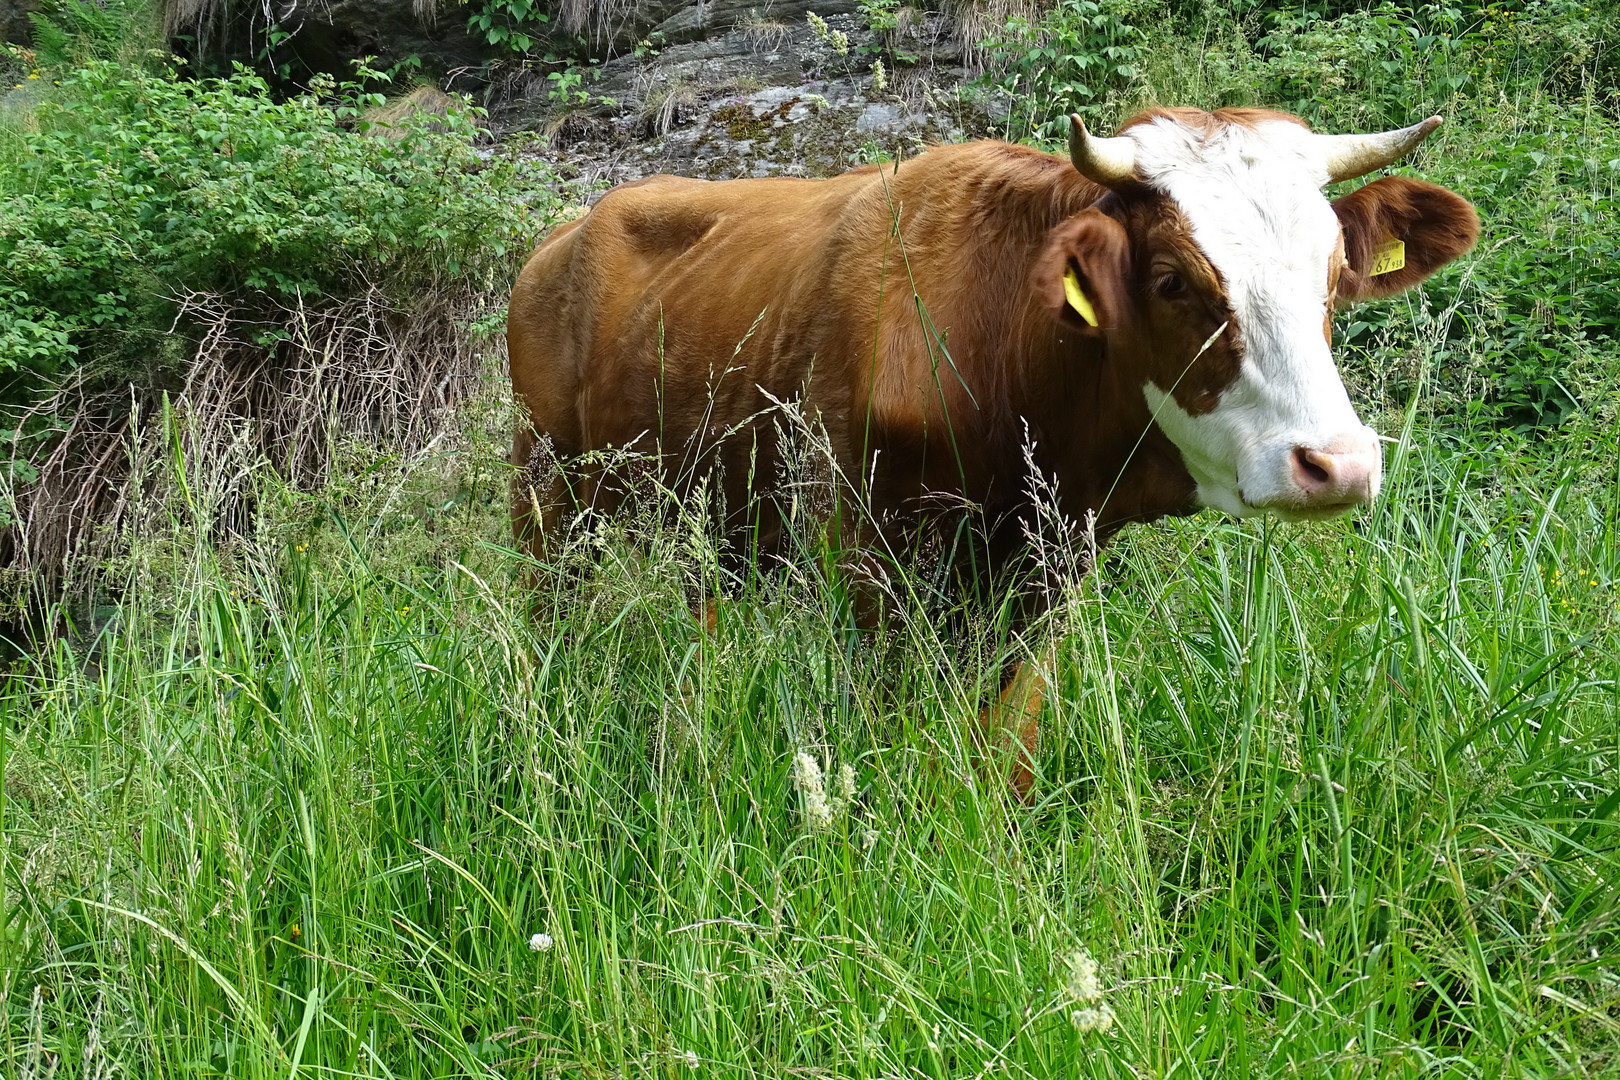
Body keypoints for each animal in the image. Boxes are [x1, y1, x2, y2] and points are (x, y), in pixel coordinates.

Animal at [505, 105, 1483, 790]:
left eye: (1335, 275)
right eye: (1172, 280)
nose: (1338, 464)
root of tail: (567, 229)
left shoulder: (1050, 565)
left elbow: (1007, 749)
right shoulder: (869, 564)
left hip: (713, 521)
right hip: (548, 489)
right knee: (549, 616)